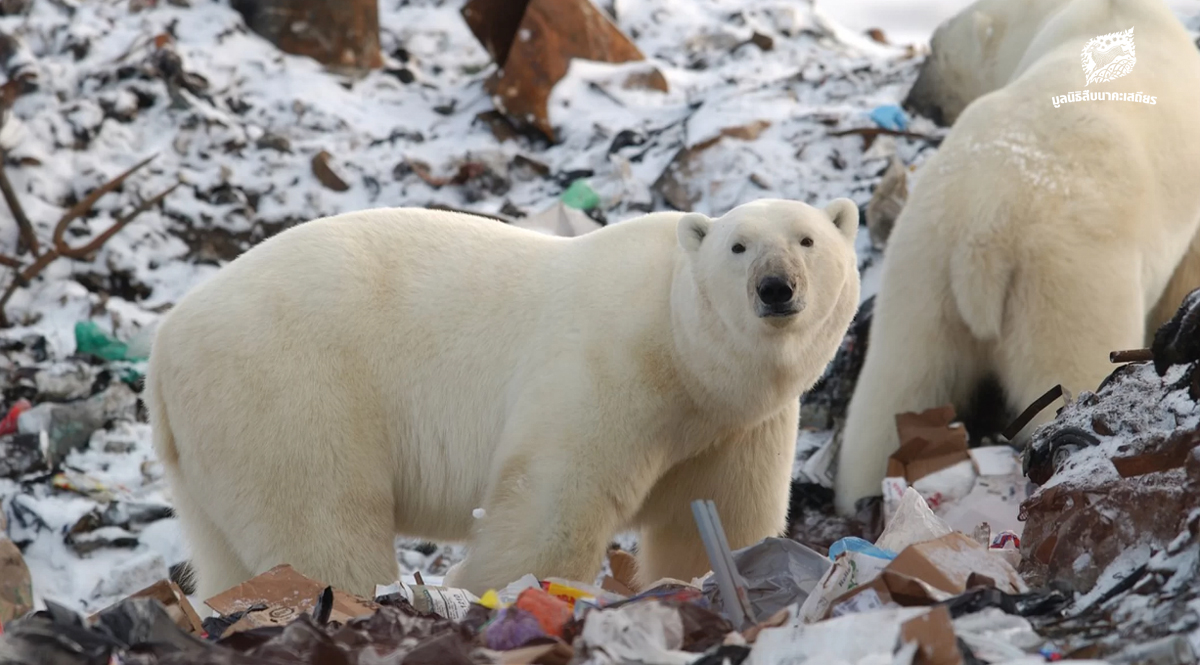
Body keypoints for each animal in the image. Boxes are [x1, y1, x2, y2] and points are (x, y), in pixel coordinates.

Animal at [145, 198, 864, 600]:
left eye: (807, 240)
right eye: (738, 246)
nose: (775, 288)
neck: (680, 346)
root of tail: (164, 345)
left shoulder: (733, 423)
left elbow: (716, 518)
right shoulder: (606, 362)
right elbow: (554, 502)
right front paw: (491, 590)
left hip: (213, 439)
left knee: (224, 548)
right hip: (288, 389)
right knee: (322, 518)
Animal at [835, 0, 1200, 511]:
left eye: (932, 49)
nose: (912, 101)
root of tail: (984, 237)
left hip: (922, 273)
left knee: (892, 397)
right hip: (1064, 283)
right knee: (1067, 371)